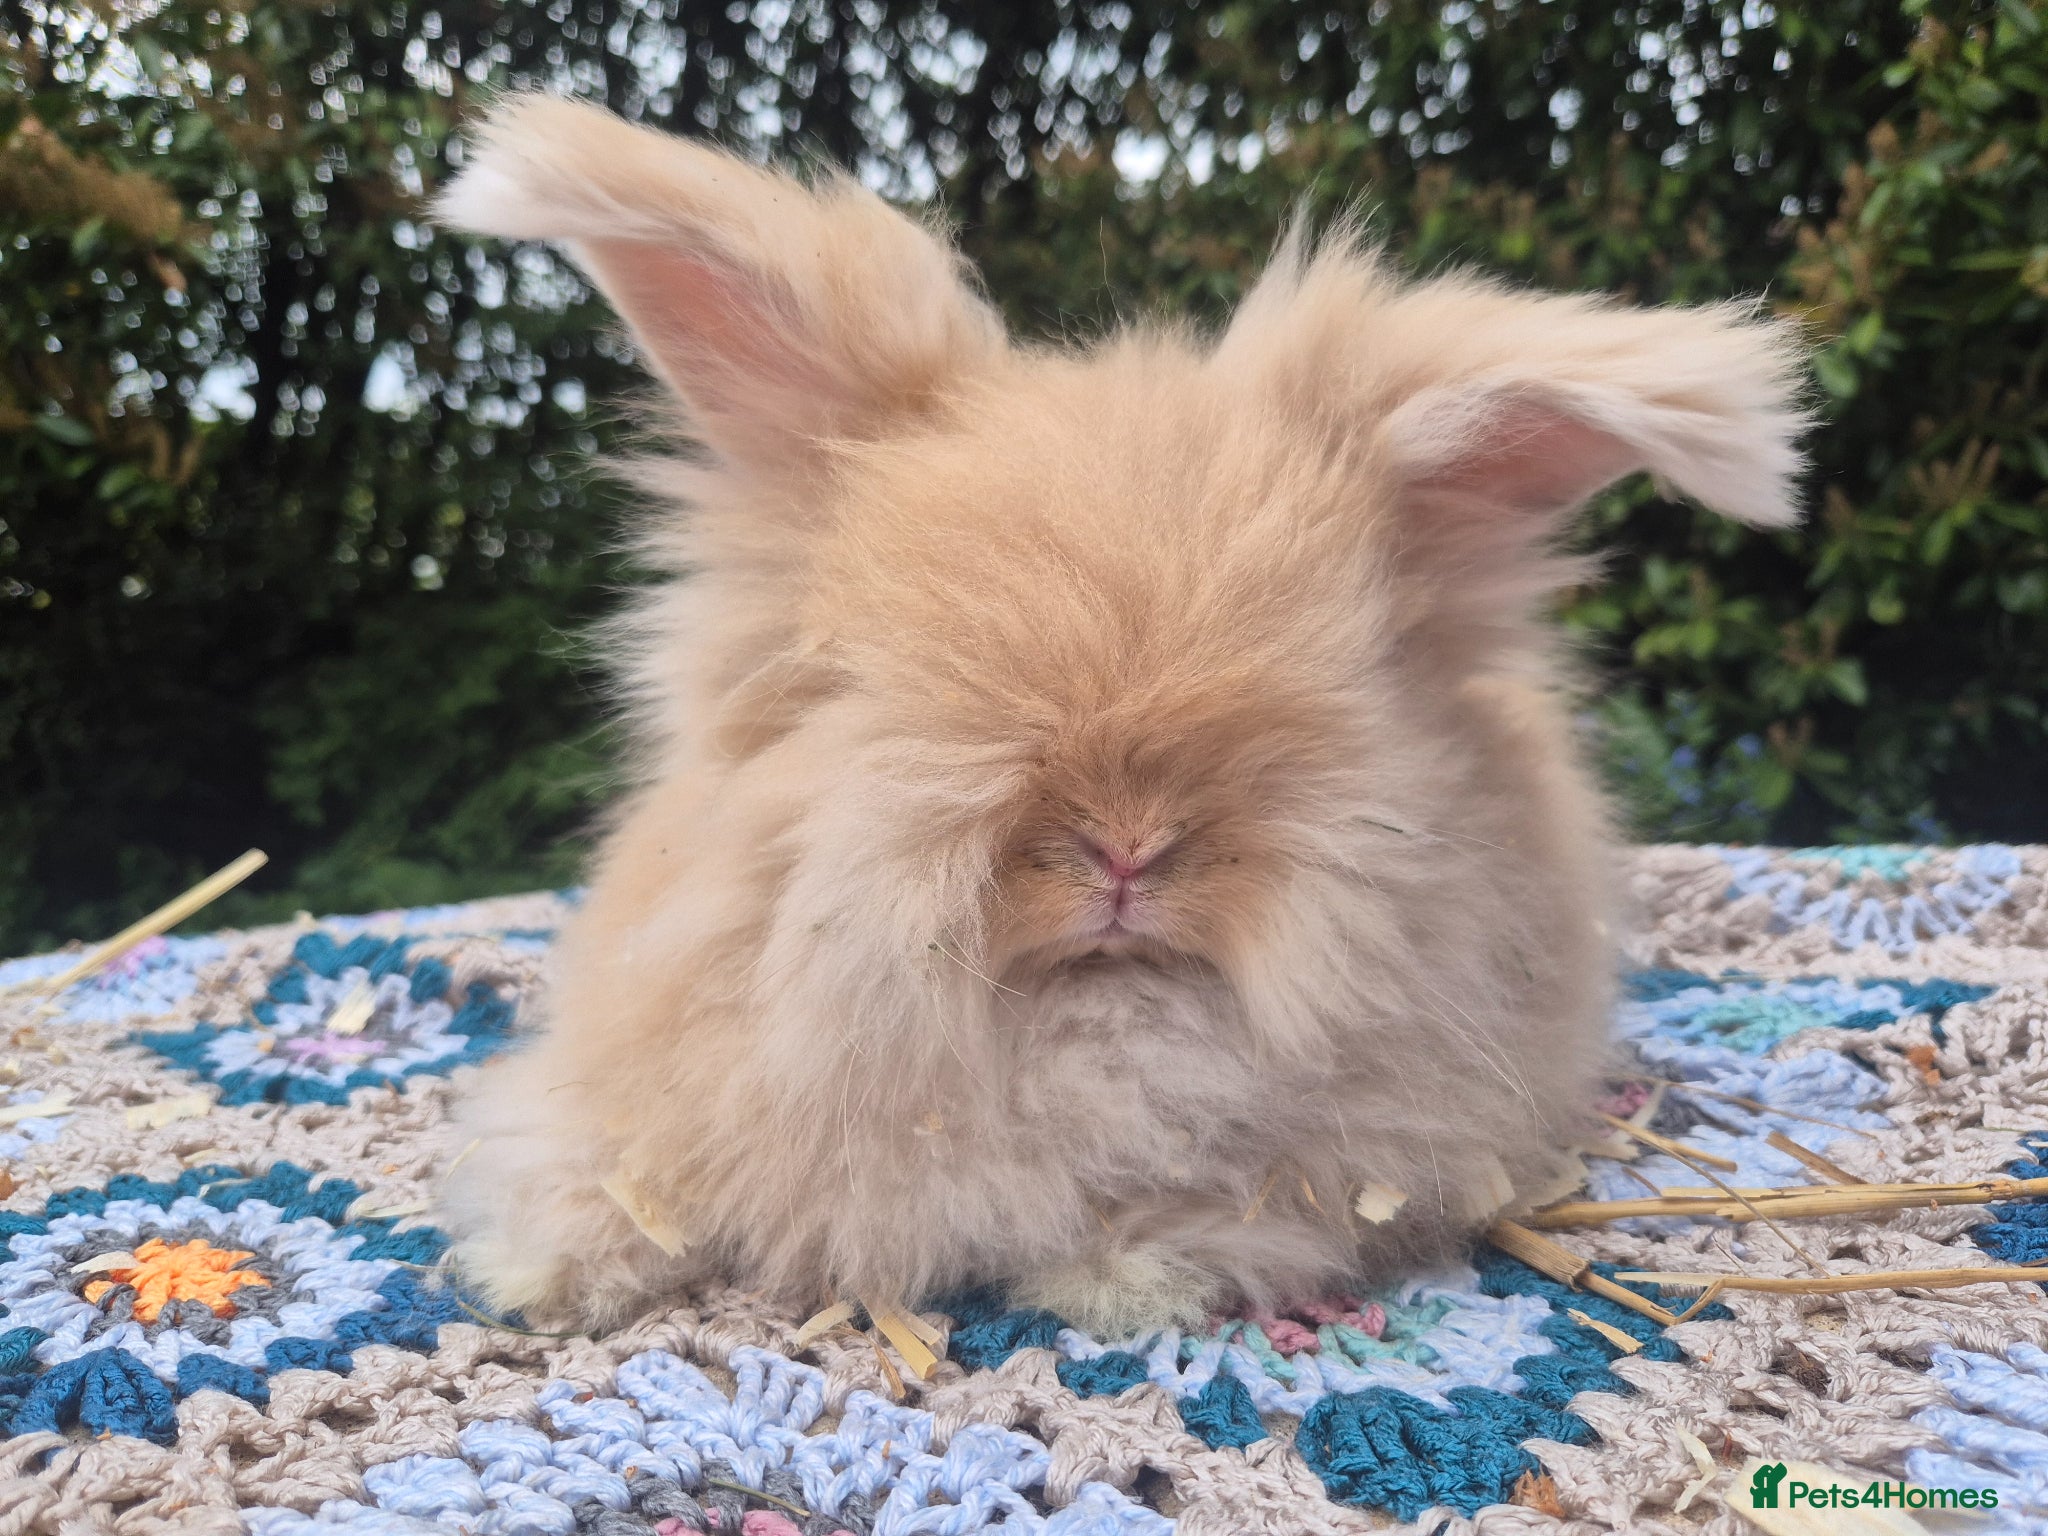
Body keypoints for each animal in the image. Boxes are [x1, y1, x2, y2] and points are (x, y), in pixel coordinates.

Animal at [431, 92, 1807, 1336]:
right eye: (863, 676)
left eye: (1346, 678)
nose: (1126, 846)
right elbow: (609, 1170)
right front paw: (541, 1274)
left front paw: (1120, 1279)